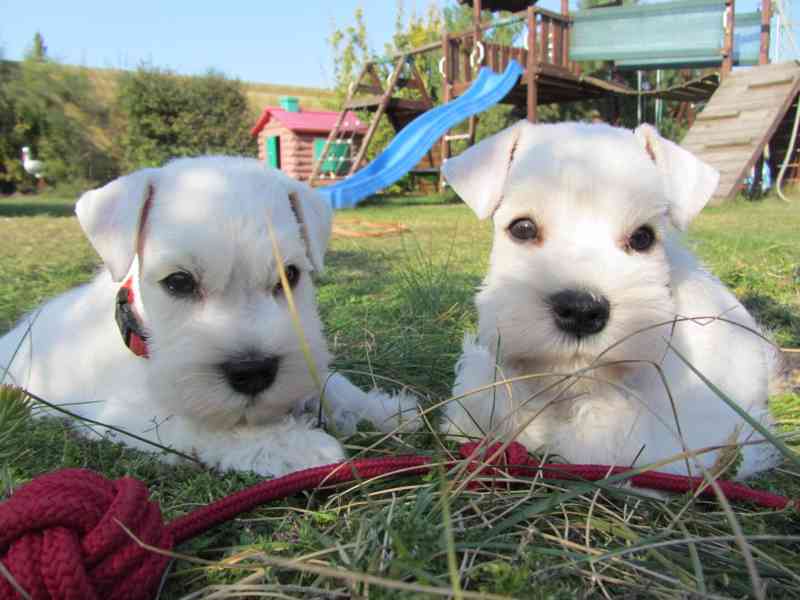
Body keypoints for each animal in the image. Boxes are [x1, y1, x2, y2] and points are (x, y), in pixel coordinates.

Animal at [1, 157, 418, 476]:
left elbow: (332, 383)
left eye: (291, 275)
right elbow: (208, 424)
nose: (253, 372)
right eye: (179, 282)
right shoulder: (132, 417)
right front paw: (300, 445)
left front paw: (385, 410)